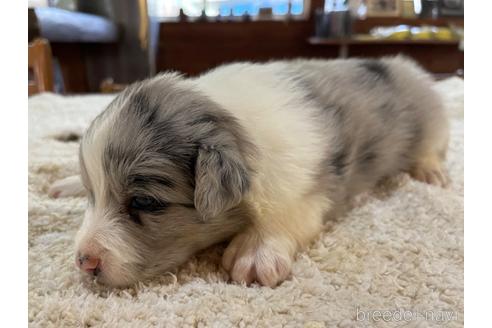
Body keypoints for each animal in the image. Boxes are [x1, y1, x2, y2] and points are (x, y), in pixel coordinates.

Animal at [50, 56, 450, 288]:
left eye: (145, 202)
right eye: (92, 193)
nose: (83, 262)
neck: (237, 122)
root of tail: (402, 63)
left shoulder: (312, 183)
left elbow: (290, 211)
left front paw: (256, 253)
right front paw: (69, 182)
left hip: (429, 118)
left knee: (432, 144)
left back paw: (431, 171)